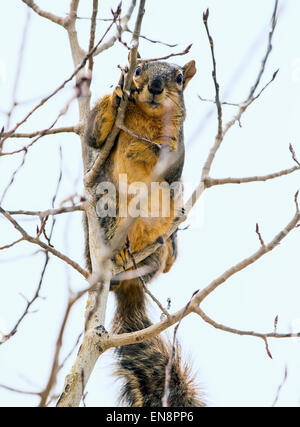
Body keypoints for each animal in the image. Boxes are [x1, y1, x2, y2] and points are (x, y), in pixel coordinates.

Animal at [84, 58, 204, 406]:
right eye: (138, 69)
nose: (154, 86)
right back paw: (117, 251)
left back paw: (165, 248)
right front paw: (116, 95)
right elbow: (94, 135)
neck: (147, 119)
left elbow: (170, 162)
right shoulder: (103, 140)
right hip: (104, 203)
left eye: (179, 77)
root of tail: (129, 279)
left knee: (165, 249)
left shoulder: (176, 149)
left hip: (164, 239)